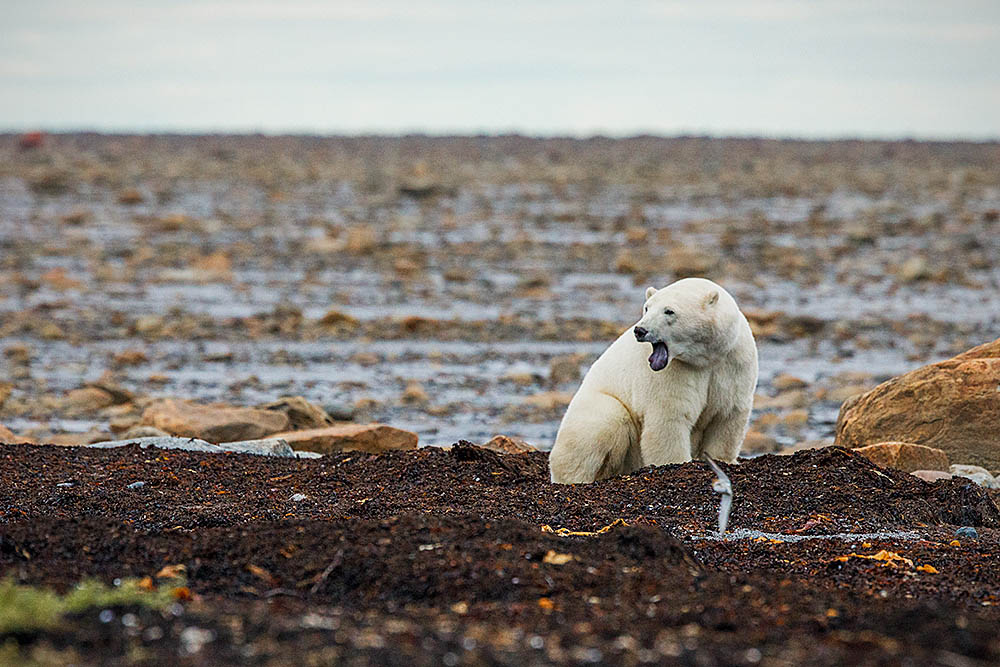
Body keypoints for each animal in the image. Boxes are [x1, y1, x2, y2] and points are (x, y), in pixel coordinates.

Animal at [552, 278, 752, 486]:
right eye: (647, 307)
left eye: (669, 311)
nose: (640, 330)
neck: (705, 359)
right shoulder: (674, 372)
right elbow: (669, 417)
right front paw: (677, 464)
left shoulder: (733, 361)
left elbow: (727, 416)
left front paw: (723, 462)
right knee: (602, 423)